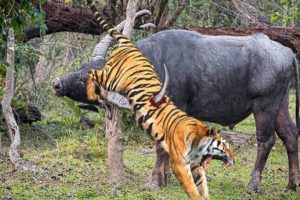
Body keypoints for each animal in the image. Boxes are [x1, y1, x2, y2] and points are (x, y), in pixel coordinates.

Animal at [52, 29, 298, 192]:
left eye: (86, 77)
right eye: (82, 67)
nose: (57, 83)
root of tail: (286, 52)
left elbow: (161, 147)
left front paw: (155, 181)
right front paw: (167, 176)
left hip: (265, 106)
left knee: (266, 141)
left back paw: (253, 185)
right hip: (281, 105)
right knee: (290, 136)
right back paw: (291, 184)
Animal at [85, 0, 233, 199]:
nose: (231, 159)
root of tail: (129, 44)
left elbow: (201, 184)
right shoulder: (180, 160)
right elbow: (189, 183)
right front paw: (159, 182)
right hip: (112, 76)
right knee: (93, 72)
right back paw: (93, 95)